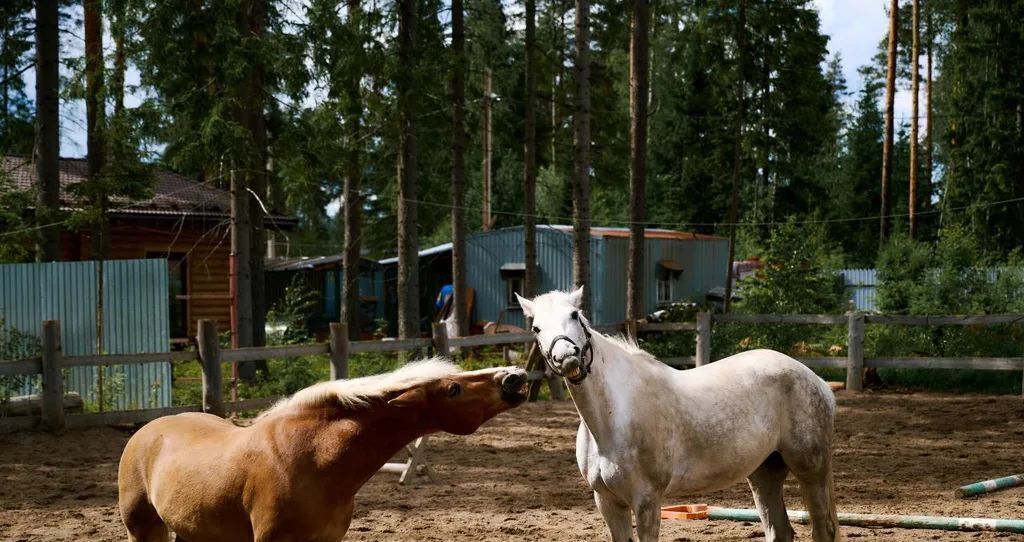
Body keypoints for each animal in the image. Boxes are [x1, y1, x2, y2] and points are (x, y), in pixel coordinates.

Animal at [516, 286, 843, 540]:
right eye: (536, 328)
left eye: (574, 315)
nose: (568, 358)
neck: (613, 417)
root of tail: (816, 380)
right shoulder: (608, 502)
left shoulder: (647, 501)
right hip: (765, 473)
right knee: (780, 531)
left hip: (811, 471)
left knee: (823, 529)